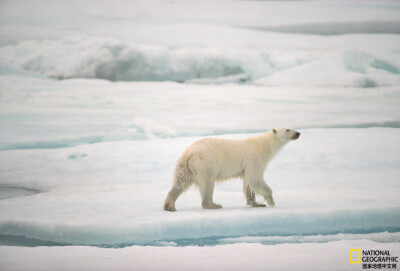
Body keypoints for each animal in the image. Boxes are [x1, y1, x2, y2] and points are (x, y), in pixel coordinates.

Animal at [162, 128, 300, 212]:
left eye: (292, 128)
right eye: (288, 129)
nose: (298, 133)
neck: (263, 145)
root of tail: (188, 153)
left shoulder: (247, 166)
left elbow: (248, 183)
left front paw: (256, 203)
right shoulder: (254, 158)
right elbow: (254, 179)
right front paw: (271, 201)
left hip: (184, 167)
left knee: (180, 184)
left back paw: (170, 206)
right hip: (205, 163)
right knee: (207, 183)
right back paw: (214, 205)